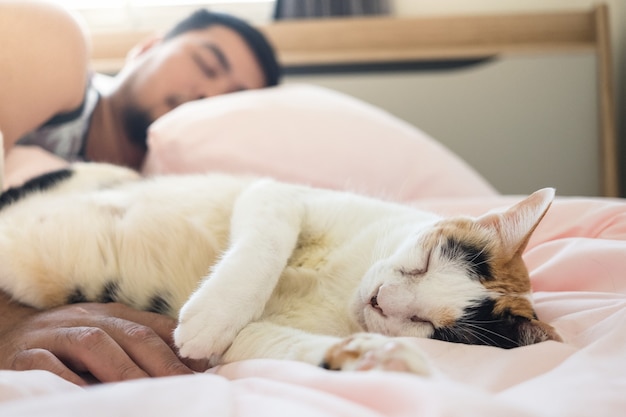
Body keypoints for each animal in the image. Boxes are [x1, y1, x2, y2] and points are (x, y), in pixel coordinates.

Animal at [0, 162, 560, 374]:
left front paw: (374, 358)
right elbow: (265, 246)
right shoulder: (276, 195)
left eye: (430, 327)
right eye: (421, 264)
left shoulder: (242, 349)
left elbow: (268, 345)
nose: (380, 301)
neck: (343, 286)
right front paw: (211, 315)